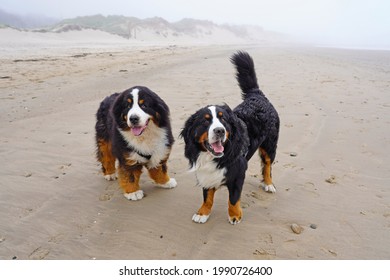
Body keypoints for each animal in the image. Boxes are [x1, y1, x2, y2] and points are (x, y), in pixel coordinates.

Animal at [181, 50, 278, 225]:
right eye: (205, 121)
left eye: (223, 119)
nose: (220, 130)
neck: (213, 157)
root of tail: (257, 95)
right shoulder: (207, 173)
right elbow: (207, 196)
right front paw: (203, 213)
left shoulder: (238, 173)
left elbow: (233, 198)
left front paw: (234, 215)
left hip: (270, 145)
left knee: (267, 165)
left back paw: (268, 184)